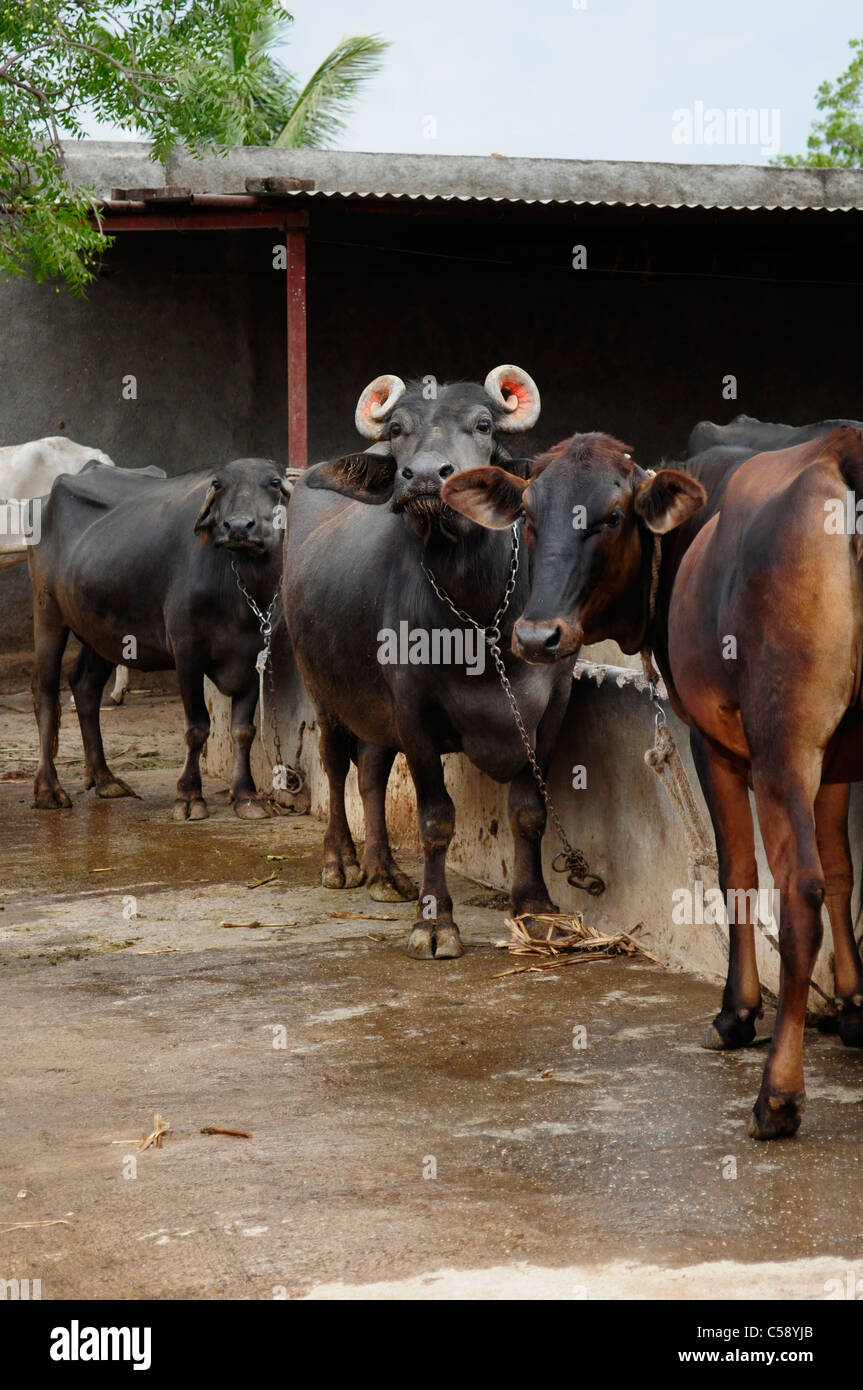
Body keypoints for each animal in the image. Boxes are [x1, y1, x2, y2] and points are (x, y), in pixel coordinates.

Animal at [29, 461, 289, 817]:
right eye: (218, 484)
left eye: (274, 482)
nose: (237, 526)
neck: (239, 592)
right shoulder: (187, 651)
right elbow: (197, 728)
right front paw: (189, 796)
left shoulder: (255, 654)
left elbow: (243, 730)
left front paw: (246, 795)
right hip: (47, 612)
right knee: (45, 692)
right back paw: (48, 789)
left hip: (104, 630)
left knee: (85, 686)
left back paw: (105, 778)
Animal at [284, 364, 578, 961]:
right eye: (397, 429)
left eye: (484, 424)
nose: (422, 476)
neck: (480, 611)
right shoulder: (414, 710)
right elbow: (436, 819)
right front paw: (436, 921)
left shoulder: (552, 709)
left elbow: (529, 811)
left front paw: (535, 909)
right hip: (322, 687)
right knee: (335, 764)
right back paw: (342, 861)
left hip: (373, 703)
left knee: (372, 771)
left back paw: (384, 872)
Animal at [444, 430, 863, 1139]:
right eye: (528, 516)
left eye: (613, 517)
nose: (537, 635)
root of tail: (842, 452)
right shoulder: (835, 758)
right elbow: (841, 871)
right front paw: (856, 1006)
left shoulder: (713, 744)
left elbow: (736, 872)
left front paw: (736, 1013)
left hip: (782, 746)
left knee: (798, 893)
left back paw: (777, 1094)